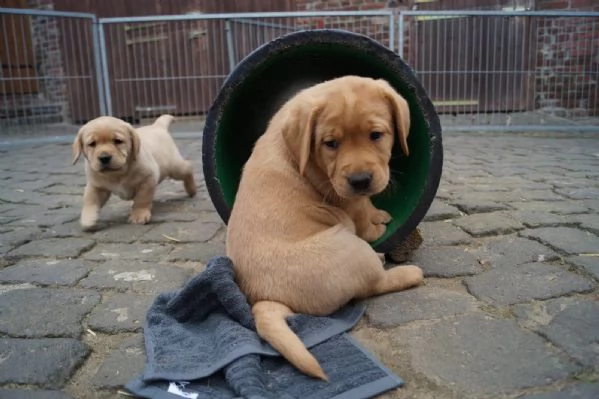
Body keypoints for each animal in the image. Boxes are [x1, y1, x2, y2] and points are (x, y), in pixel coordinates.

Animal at [226, 76, 426, 384]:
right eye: (330, 143)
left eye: (376, 135)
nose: (360, 179)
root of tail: (263, 298)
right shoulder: (343, 196)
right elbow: (361, 212)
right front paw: (376, 227)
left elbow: (367, 201)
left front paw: (379, 213)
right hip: (349, 246)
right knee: (373, 284)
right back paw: (406, 271)